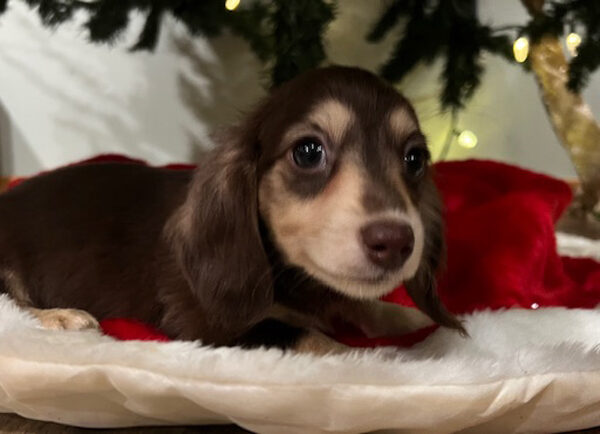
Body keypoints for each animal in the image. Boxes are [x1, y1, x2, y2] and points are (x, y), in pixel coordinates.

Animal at [0, 66, 464, 354]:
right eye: (308, 152)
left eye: (415, 159)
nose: (397, 242)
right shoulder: (205, 325)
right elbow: (307, 335)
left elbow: (364, 305)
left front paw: (409, 319)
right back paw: (61, 316)